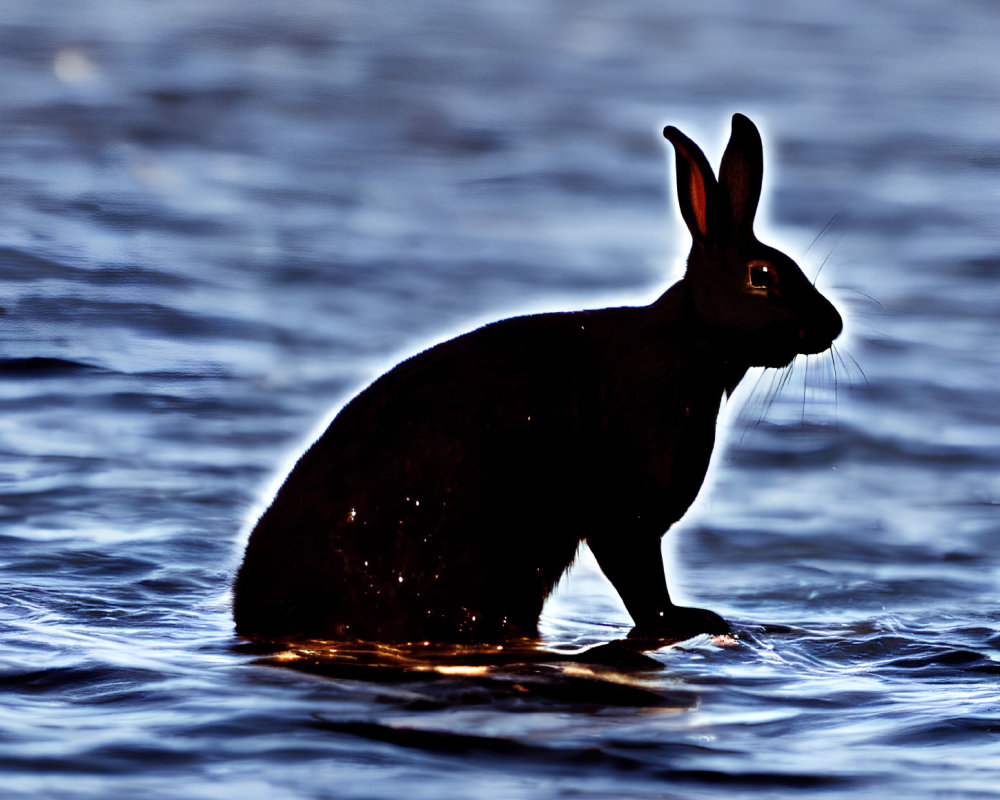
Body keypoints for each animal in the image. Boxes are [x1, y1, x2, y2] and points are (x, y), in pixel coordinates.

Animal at [230, 114, 840, 644]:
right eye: (762, 275)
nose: (832, 324)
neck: (686, 352)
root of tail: (253, 608)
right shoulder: (622, 517)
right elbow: (644, 589)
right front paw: (694, 621)